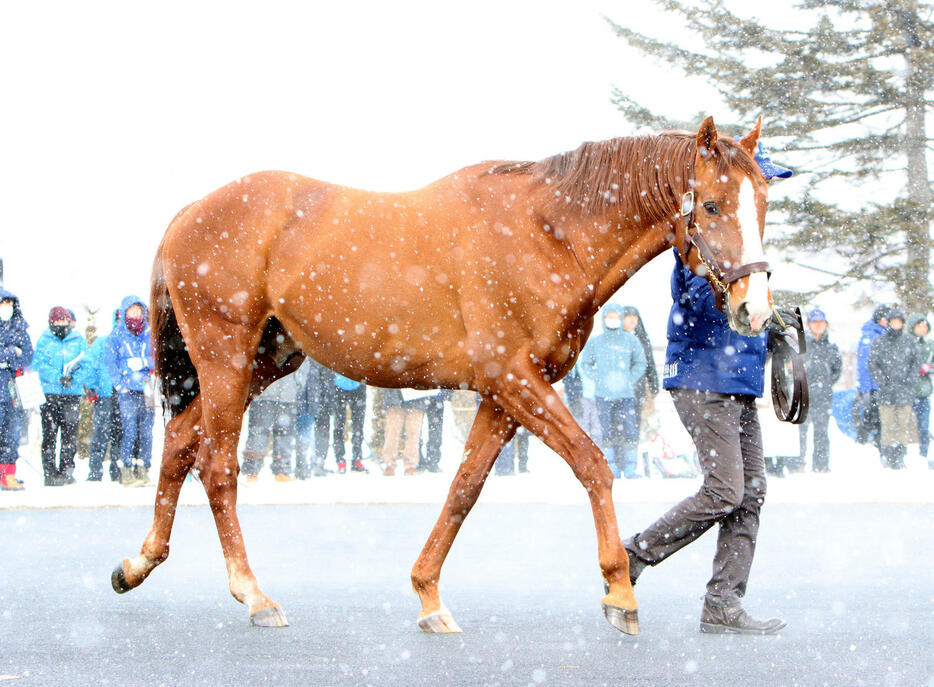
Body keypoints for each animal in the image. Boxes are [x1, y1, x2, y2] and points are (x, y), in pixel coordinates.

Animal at [111, 115, 776, 636]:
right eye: (712, 205)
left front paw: (428, 593)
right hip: (225, 356)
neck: (547, 232)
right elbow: (593, 463)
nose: (756, 311)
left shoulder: (504, 395)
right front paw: (619, 590)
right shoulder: (515, 379)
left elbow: (464, 488)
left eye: (763, 203)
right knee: (217, 465)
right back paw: (252, 593)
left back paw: (138, 564)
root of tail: (191, 212)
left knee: (179, 443)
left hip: (266, 361)